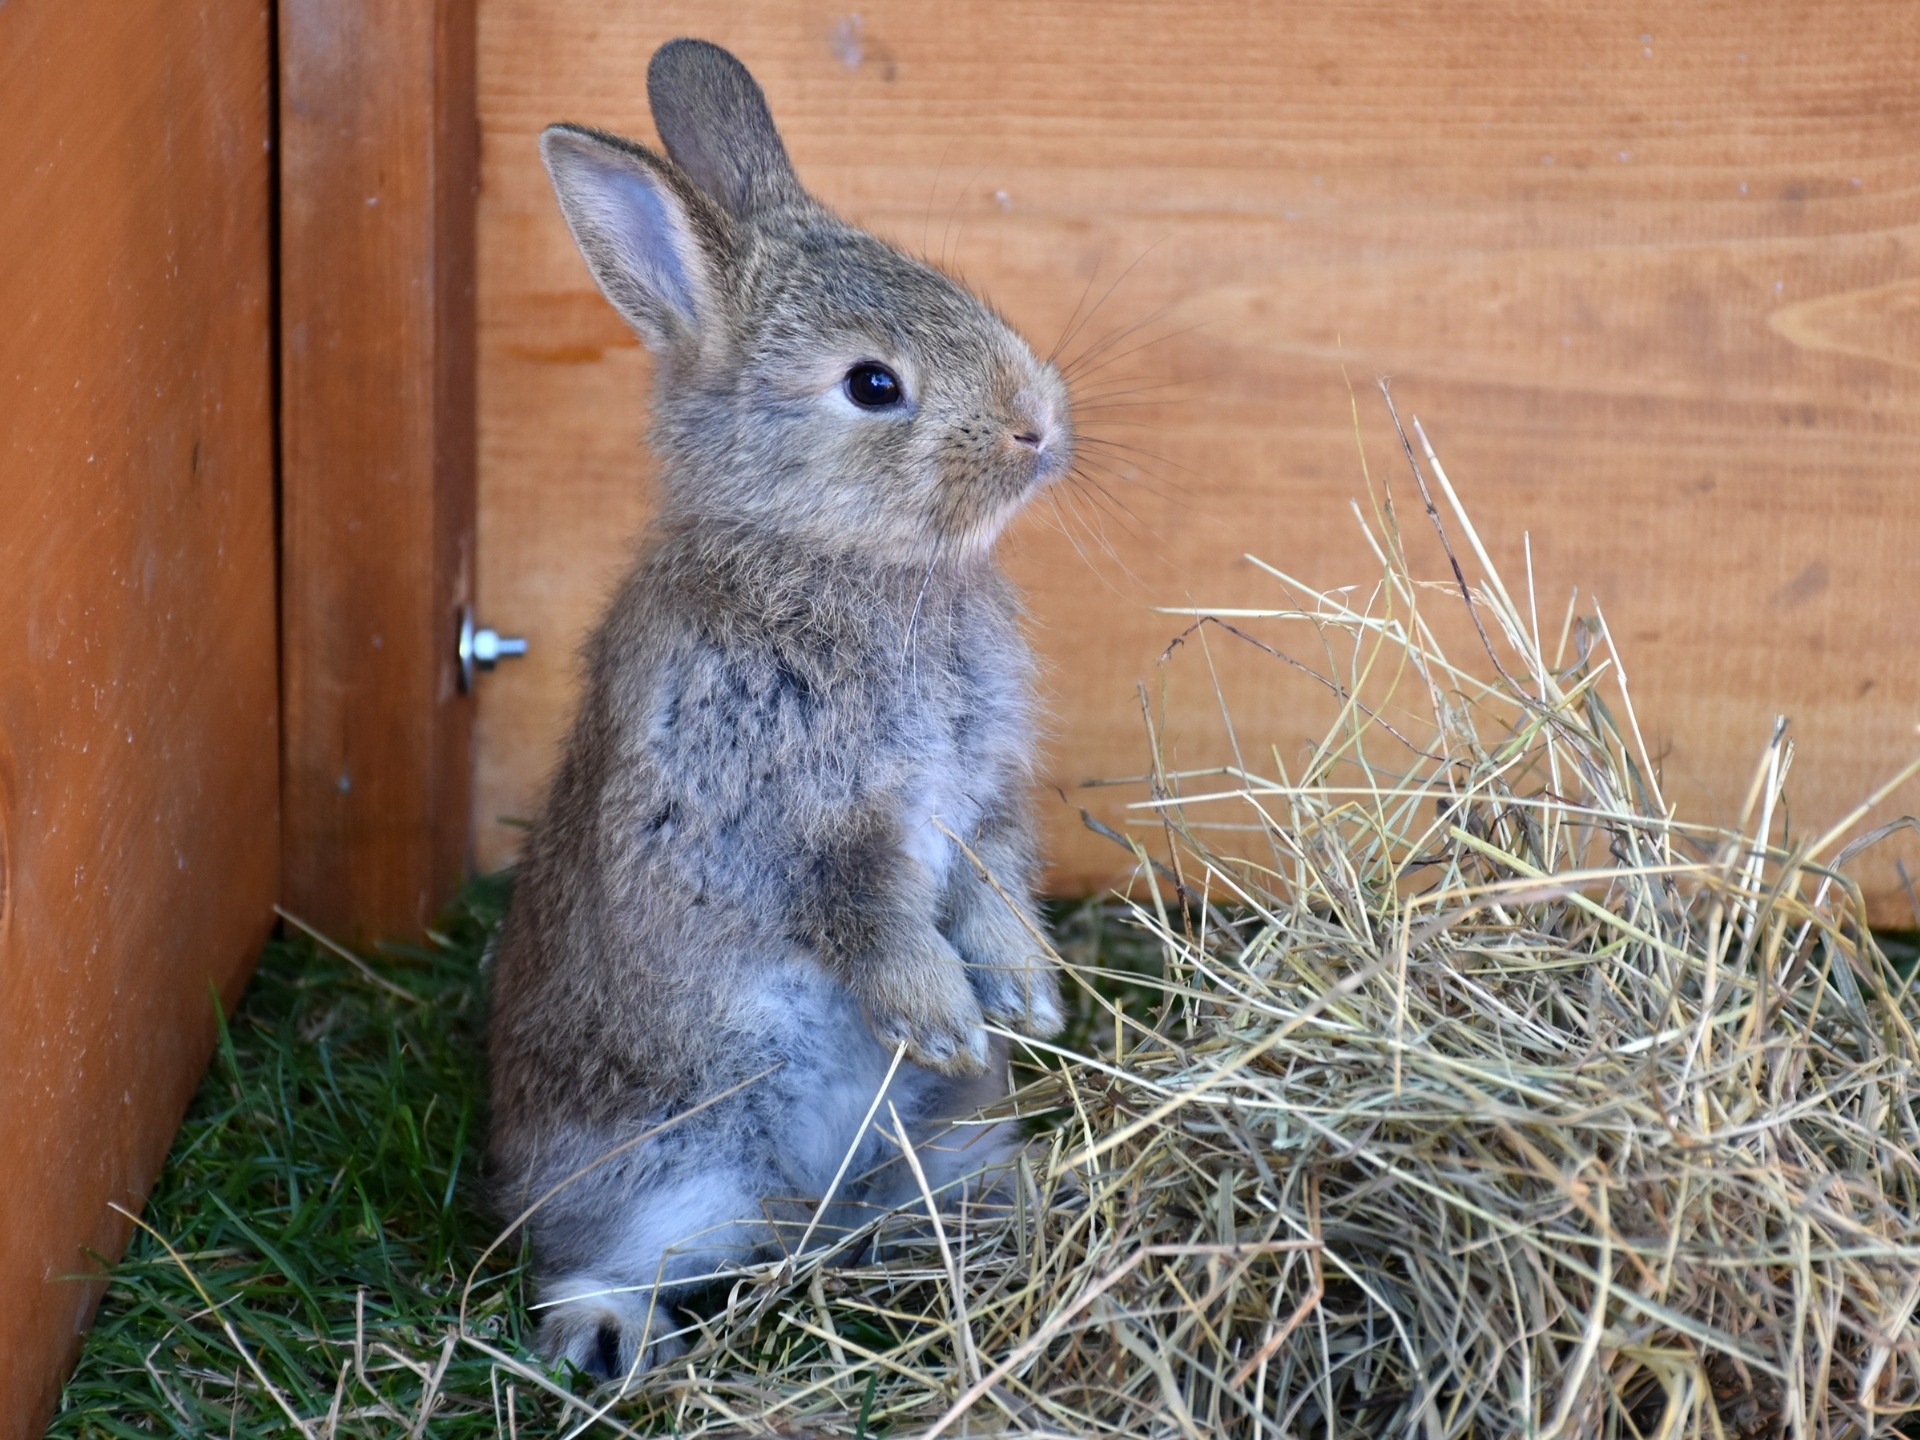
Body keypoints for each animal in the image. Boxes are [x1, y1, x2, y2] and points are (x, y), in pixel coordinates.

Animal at [485, 38, 1072, 1382]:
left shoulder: (984, 801)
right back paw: (612, 1339)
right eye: (874, 385)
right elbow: (863, 914)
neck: (834, 559)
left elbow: (995, 881)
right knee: (587, 1257)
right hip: (663, 1164)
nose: (1039, 426)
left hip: (931, 1146)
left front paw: (1026, 999)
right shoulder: (776, 816)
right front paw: (947, 1019)